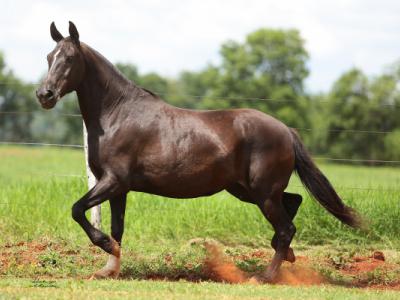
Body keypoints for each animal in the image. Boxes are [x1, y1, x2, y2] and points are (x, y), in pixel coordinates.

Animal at [36, 21, 362, 282]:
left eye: (69, 58)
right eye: (50, 57)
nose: (44, 95)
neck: (116, 114)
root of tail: (286, 130)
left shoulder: (114, 181)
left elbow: (77, 209)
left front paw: (105, 249)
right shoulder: (118, 188)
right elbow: (117, 229)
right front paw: (109, 268)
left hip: (262, 192)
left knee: (286, 228)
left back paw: (264, 276)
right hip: (247, 190)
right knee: (293, 204)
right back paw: (287, 257)